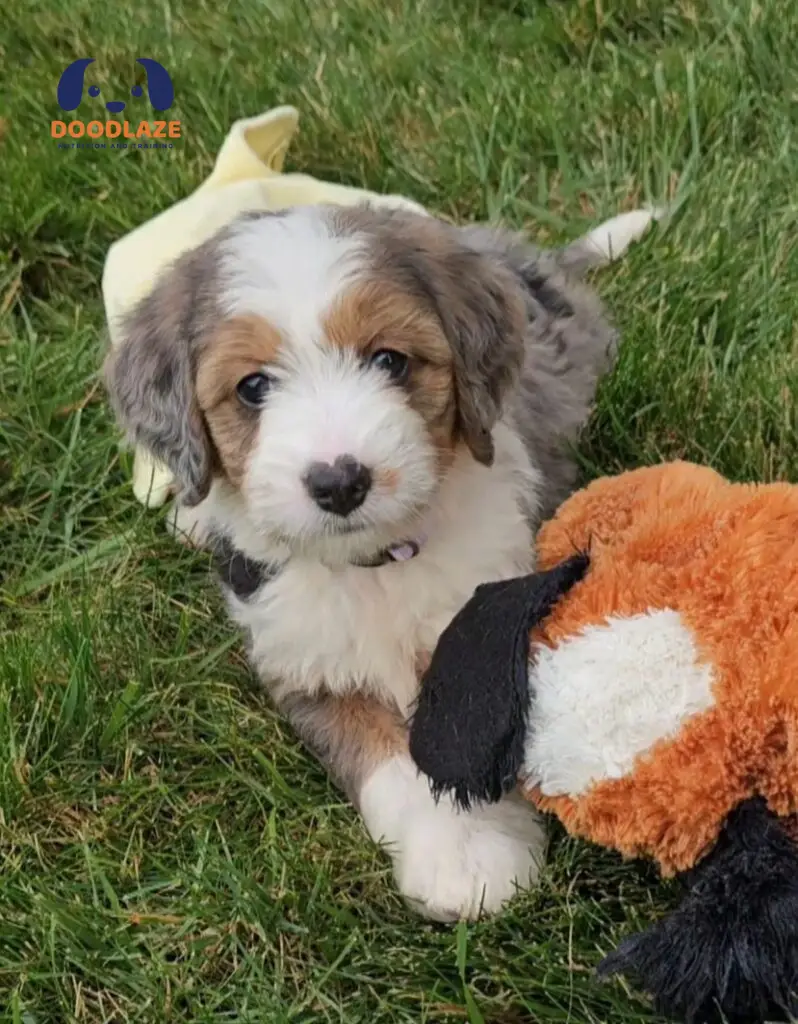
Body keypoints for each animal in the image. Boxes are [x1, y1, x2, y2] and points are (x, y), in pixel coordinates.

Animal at [104, 199, 655, 921]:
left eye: (390, 360)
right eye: (252, 387)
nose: (340, 482)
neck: (380, 562)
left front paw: (474, 854)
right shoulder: (305, 663)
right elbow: (386, 760)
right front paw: (460, 857)